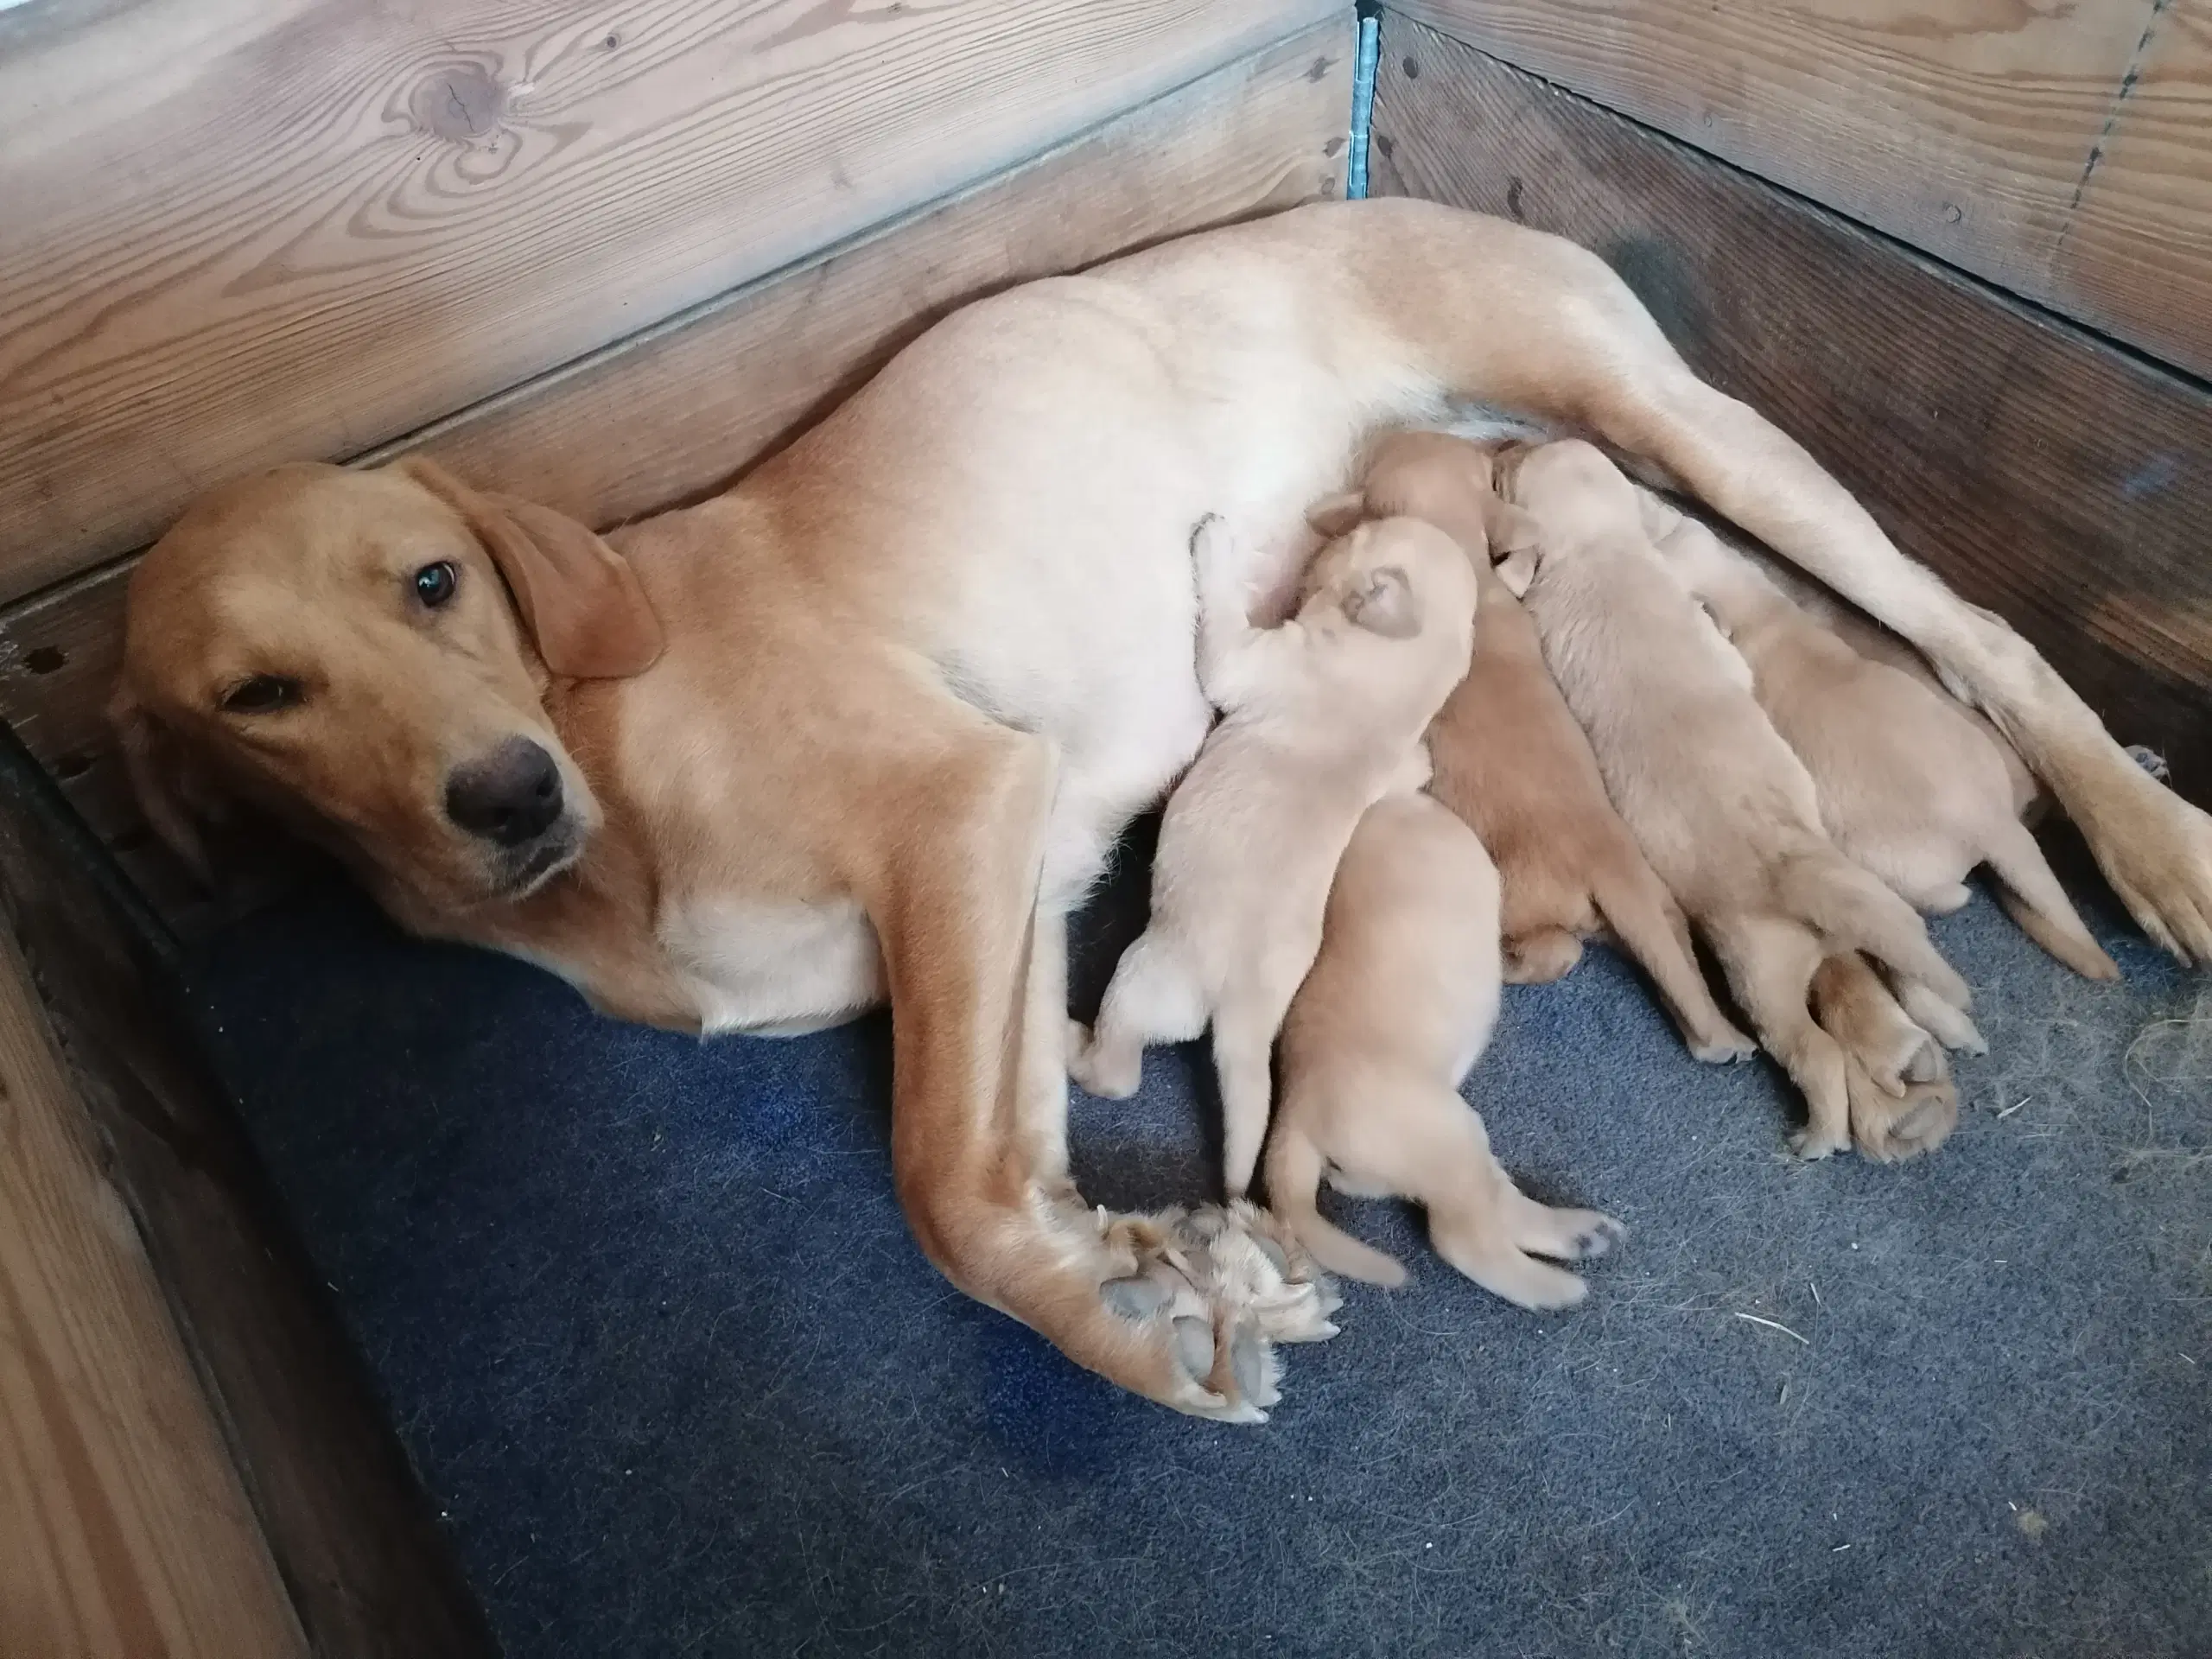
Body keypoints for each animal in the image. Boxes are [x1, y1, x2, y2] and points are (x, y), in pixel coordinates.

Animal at [1065, 512, 1478, 1203]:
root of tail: (1243, 1021)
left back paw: (1077, 1049)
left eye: (1359, 537)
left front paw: (1217, 546)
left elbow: (1221, 647)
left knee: (1119, 1072)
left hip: (1145, 978)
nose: (1339, 524)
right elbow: (1413, 770)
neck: (1399, 670)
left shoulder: (1263, 661)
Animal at [1265, 787, 1628, 1309]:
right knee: (1463, 1237)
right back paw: (1555, 1287)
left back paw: (1581, 1235)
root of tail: (1293, 1112)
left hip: (1445, 1142)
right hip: (1446, 1136)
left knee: (1492, 1204)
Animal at [1300, 435, 1751, 1065]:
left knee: (1553, 953)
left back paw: (1508, 965)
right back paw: (1709, 1033)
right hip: (1660, 910)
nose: (1494, 440)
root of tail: (1607, 863)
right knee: (1663, 962)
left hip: (1518, 897)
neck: (1459, 549)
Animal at [1503, 444, 1973, 1167]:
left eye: (1515, 466)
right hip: (1869, 901)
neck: (1605, 547)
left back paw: (1818, 1135)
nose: (1505, 445)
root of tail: (1797, 873)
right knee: (1899, 958)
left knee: (1812, 1050)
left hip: (1763, 975)